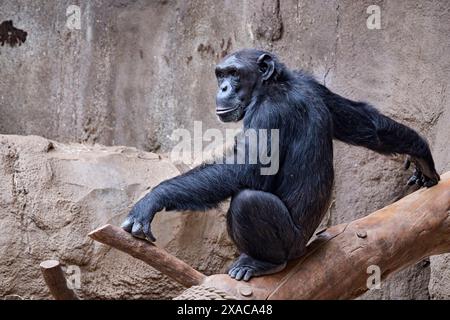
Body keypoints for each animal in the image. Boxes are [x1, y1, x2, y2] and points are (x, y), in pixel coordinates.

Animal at [120, 48, 440, 282]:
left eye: (234, 73)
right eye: (221, 74)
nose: (223, 87)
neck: (275, 84)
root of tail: (304, 246)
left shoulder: (268, 111)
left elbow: (247, 168)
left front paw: (152, 200)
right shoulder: (313, 84)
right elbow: (364, 123)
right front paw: (422, 153)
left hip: (292, 242)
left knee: (248, 201)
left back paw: (262, 262)